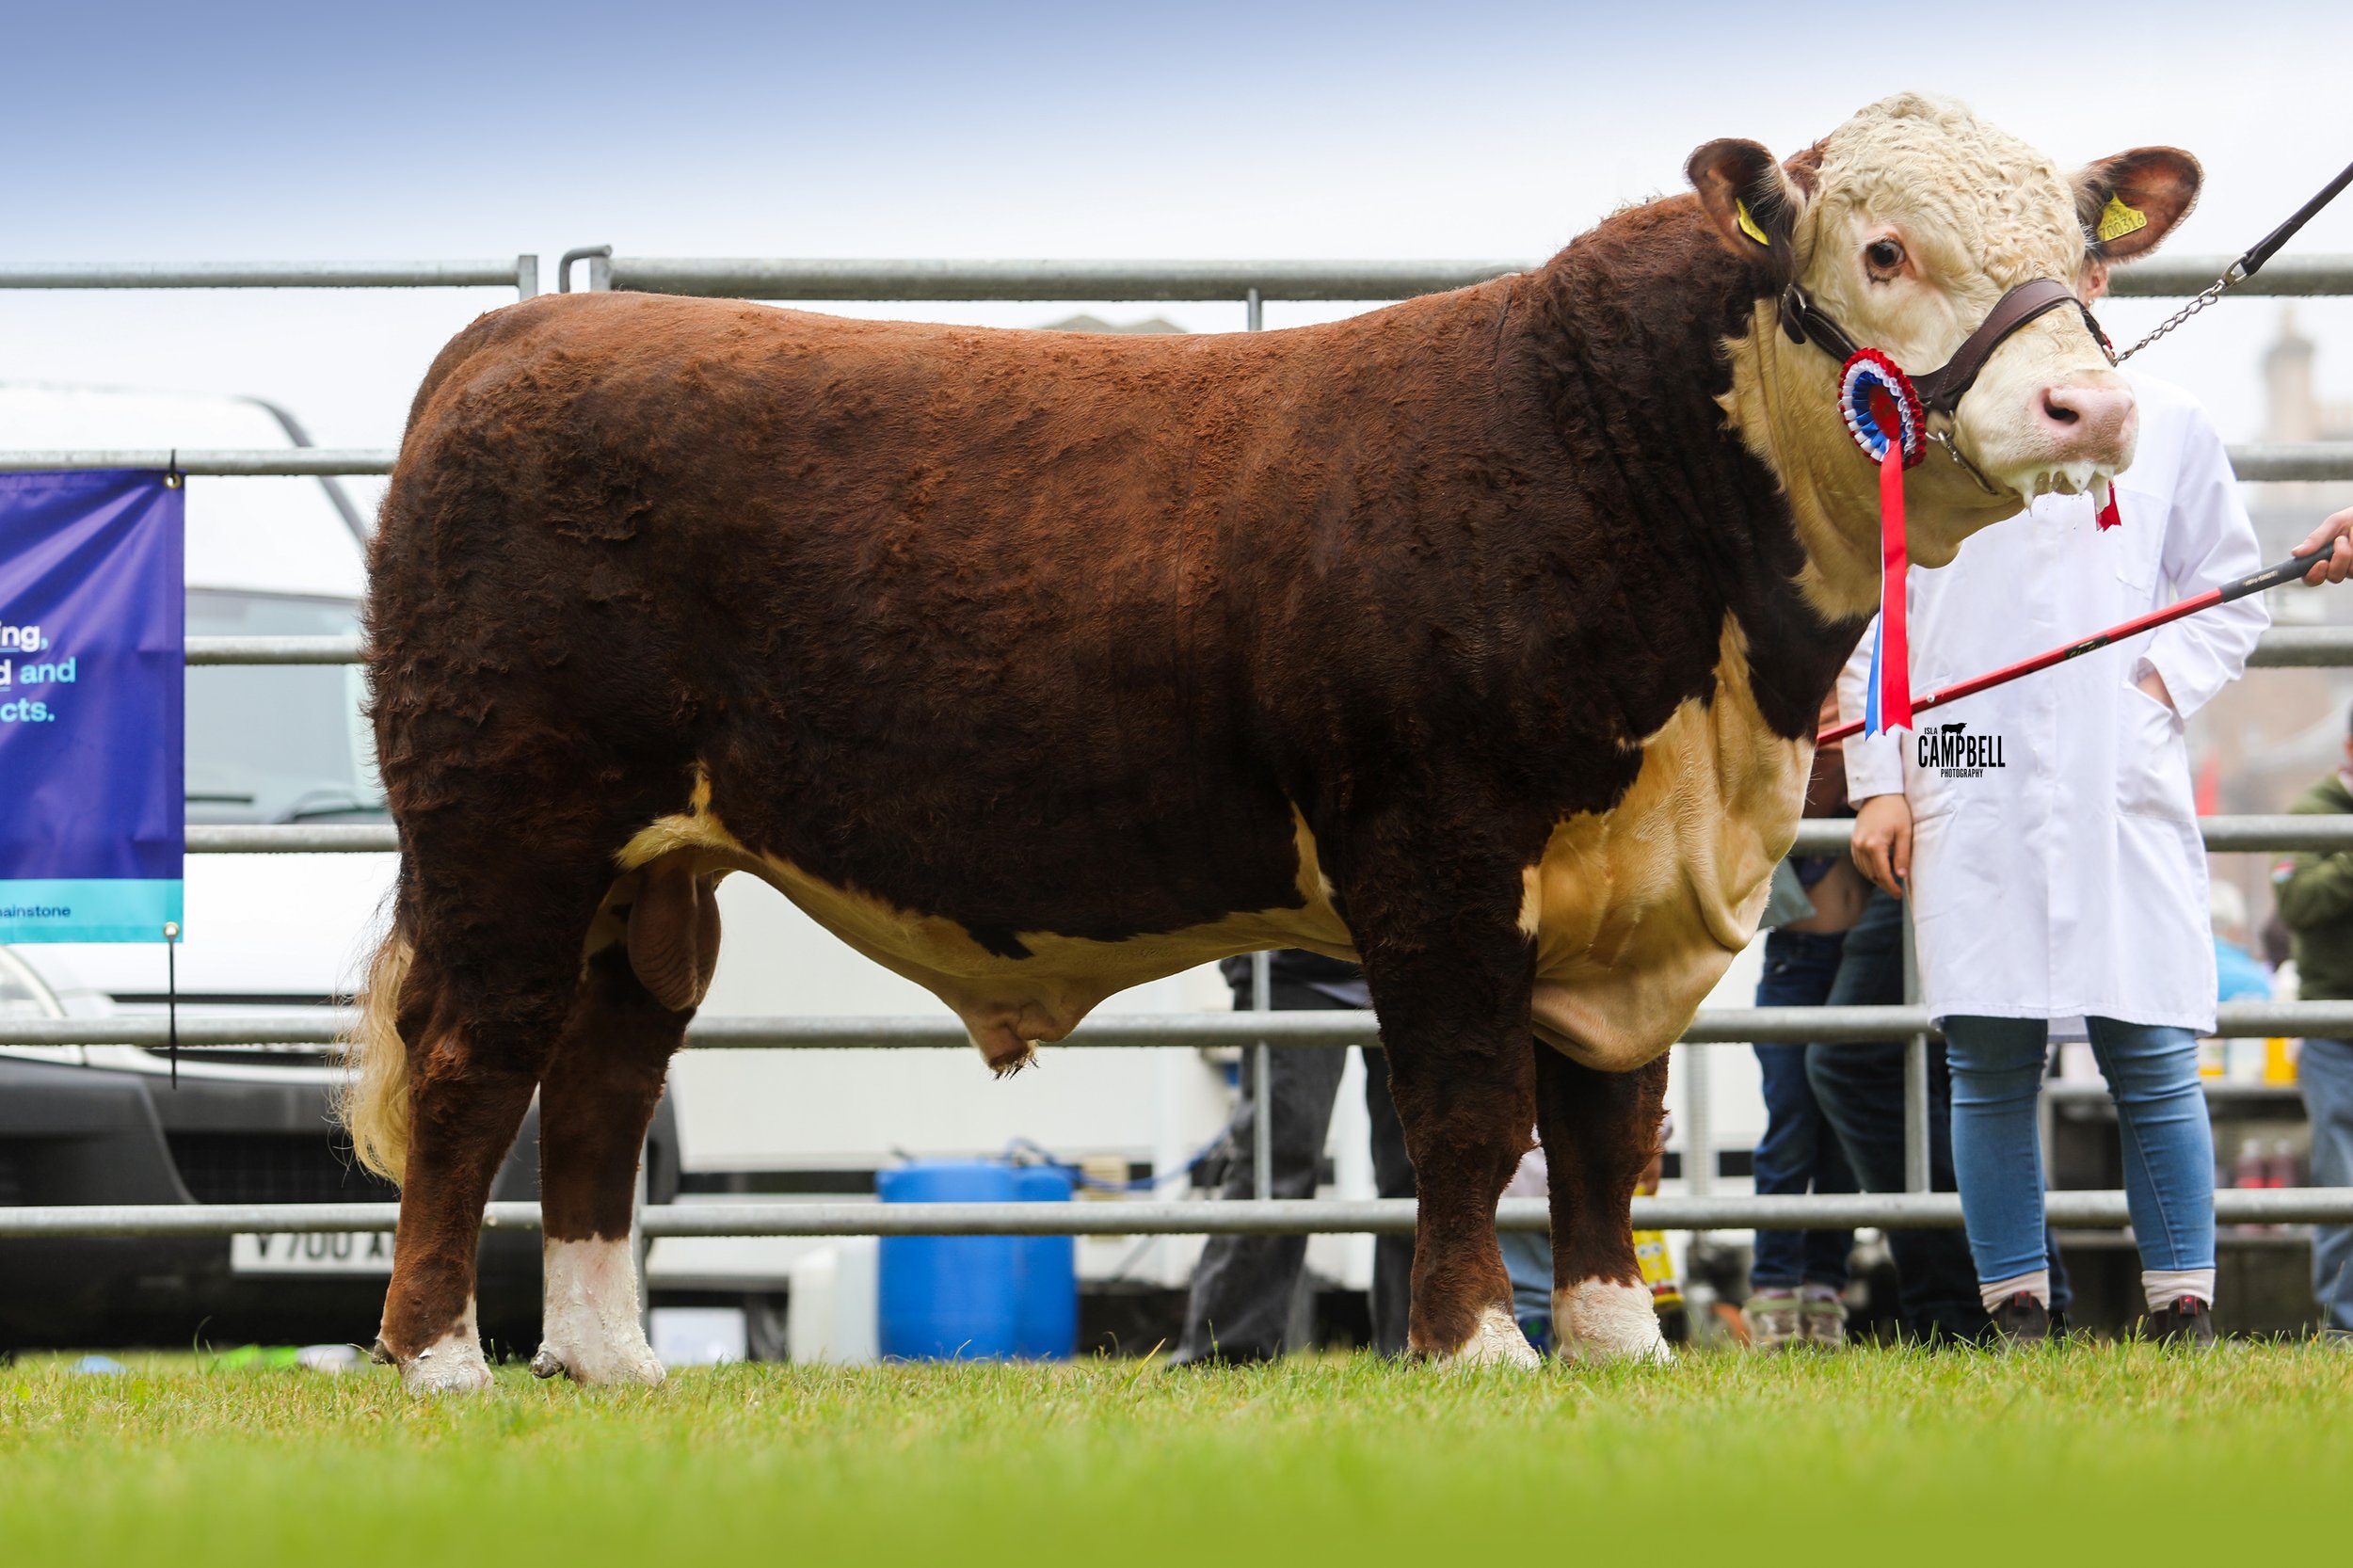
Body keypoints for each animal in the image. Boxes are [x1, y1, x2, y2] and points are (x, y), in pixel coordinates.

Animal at [342, 93, 2194, 1390]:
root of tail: (529, 330)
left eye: (2086, 243)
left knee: (601, 1077)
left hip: (656, 872)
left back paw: (608, 1357)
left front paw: (1615, 1343)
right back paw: (438, 1359)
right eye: (1882, 251)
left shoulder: (1637, 885)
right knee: (475, 1060)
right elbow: (1474, 1114)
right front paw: (1474, 1345)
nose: (2090, 405)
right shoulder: (1438, 854)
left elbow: (1610, 1128)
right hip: (506, 822)